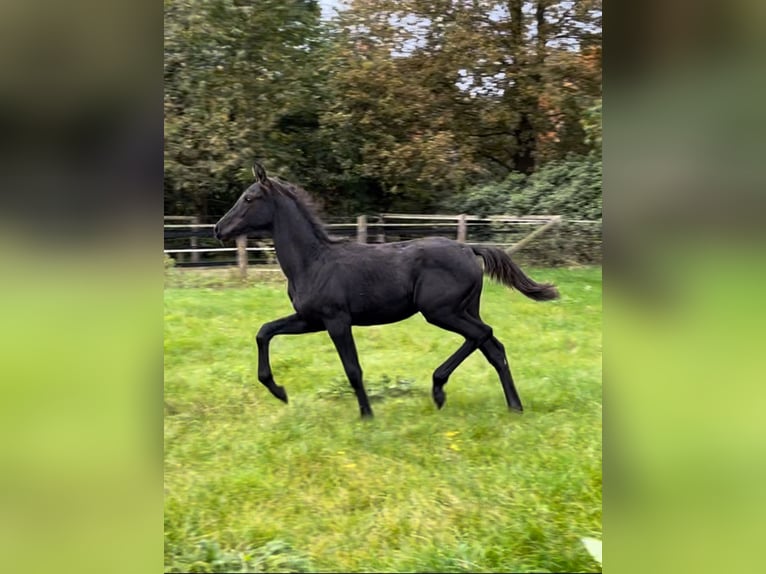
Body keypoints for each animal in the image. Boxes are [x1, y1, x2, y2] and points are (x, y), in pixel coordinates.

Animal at [213, 162, 560, 418]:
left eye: (249, 198)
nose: (218, 229)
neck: (313, 261)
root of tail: (468, 249)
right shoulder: (311, 319)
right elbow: (264, 332)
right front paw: (280, 392)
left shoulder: (336, 320)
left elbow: (352, 369)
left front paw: (367, 415)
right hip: (463, 309)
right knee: (493, 348)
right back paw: (514, 407)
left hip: (440, 311)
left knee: (482, 334)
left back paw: (439, 389)